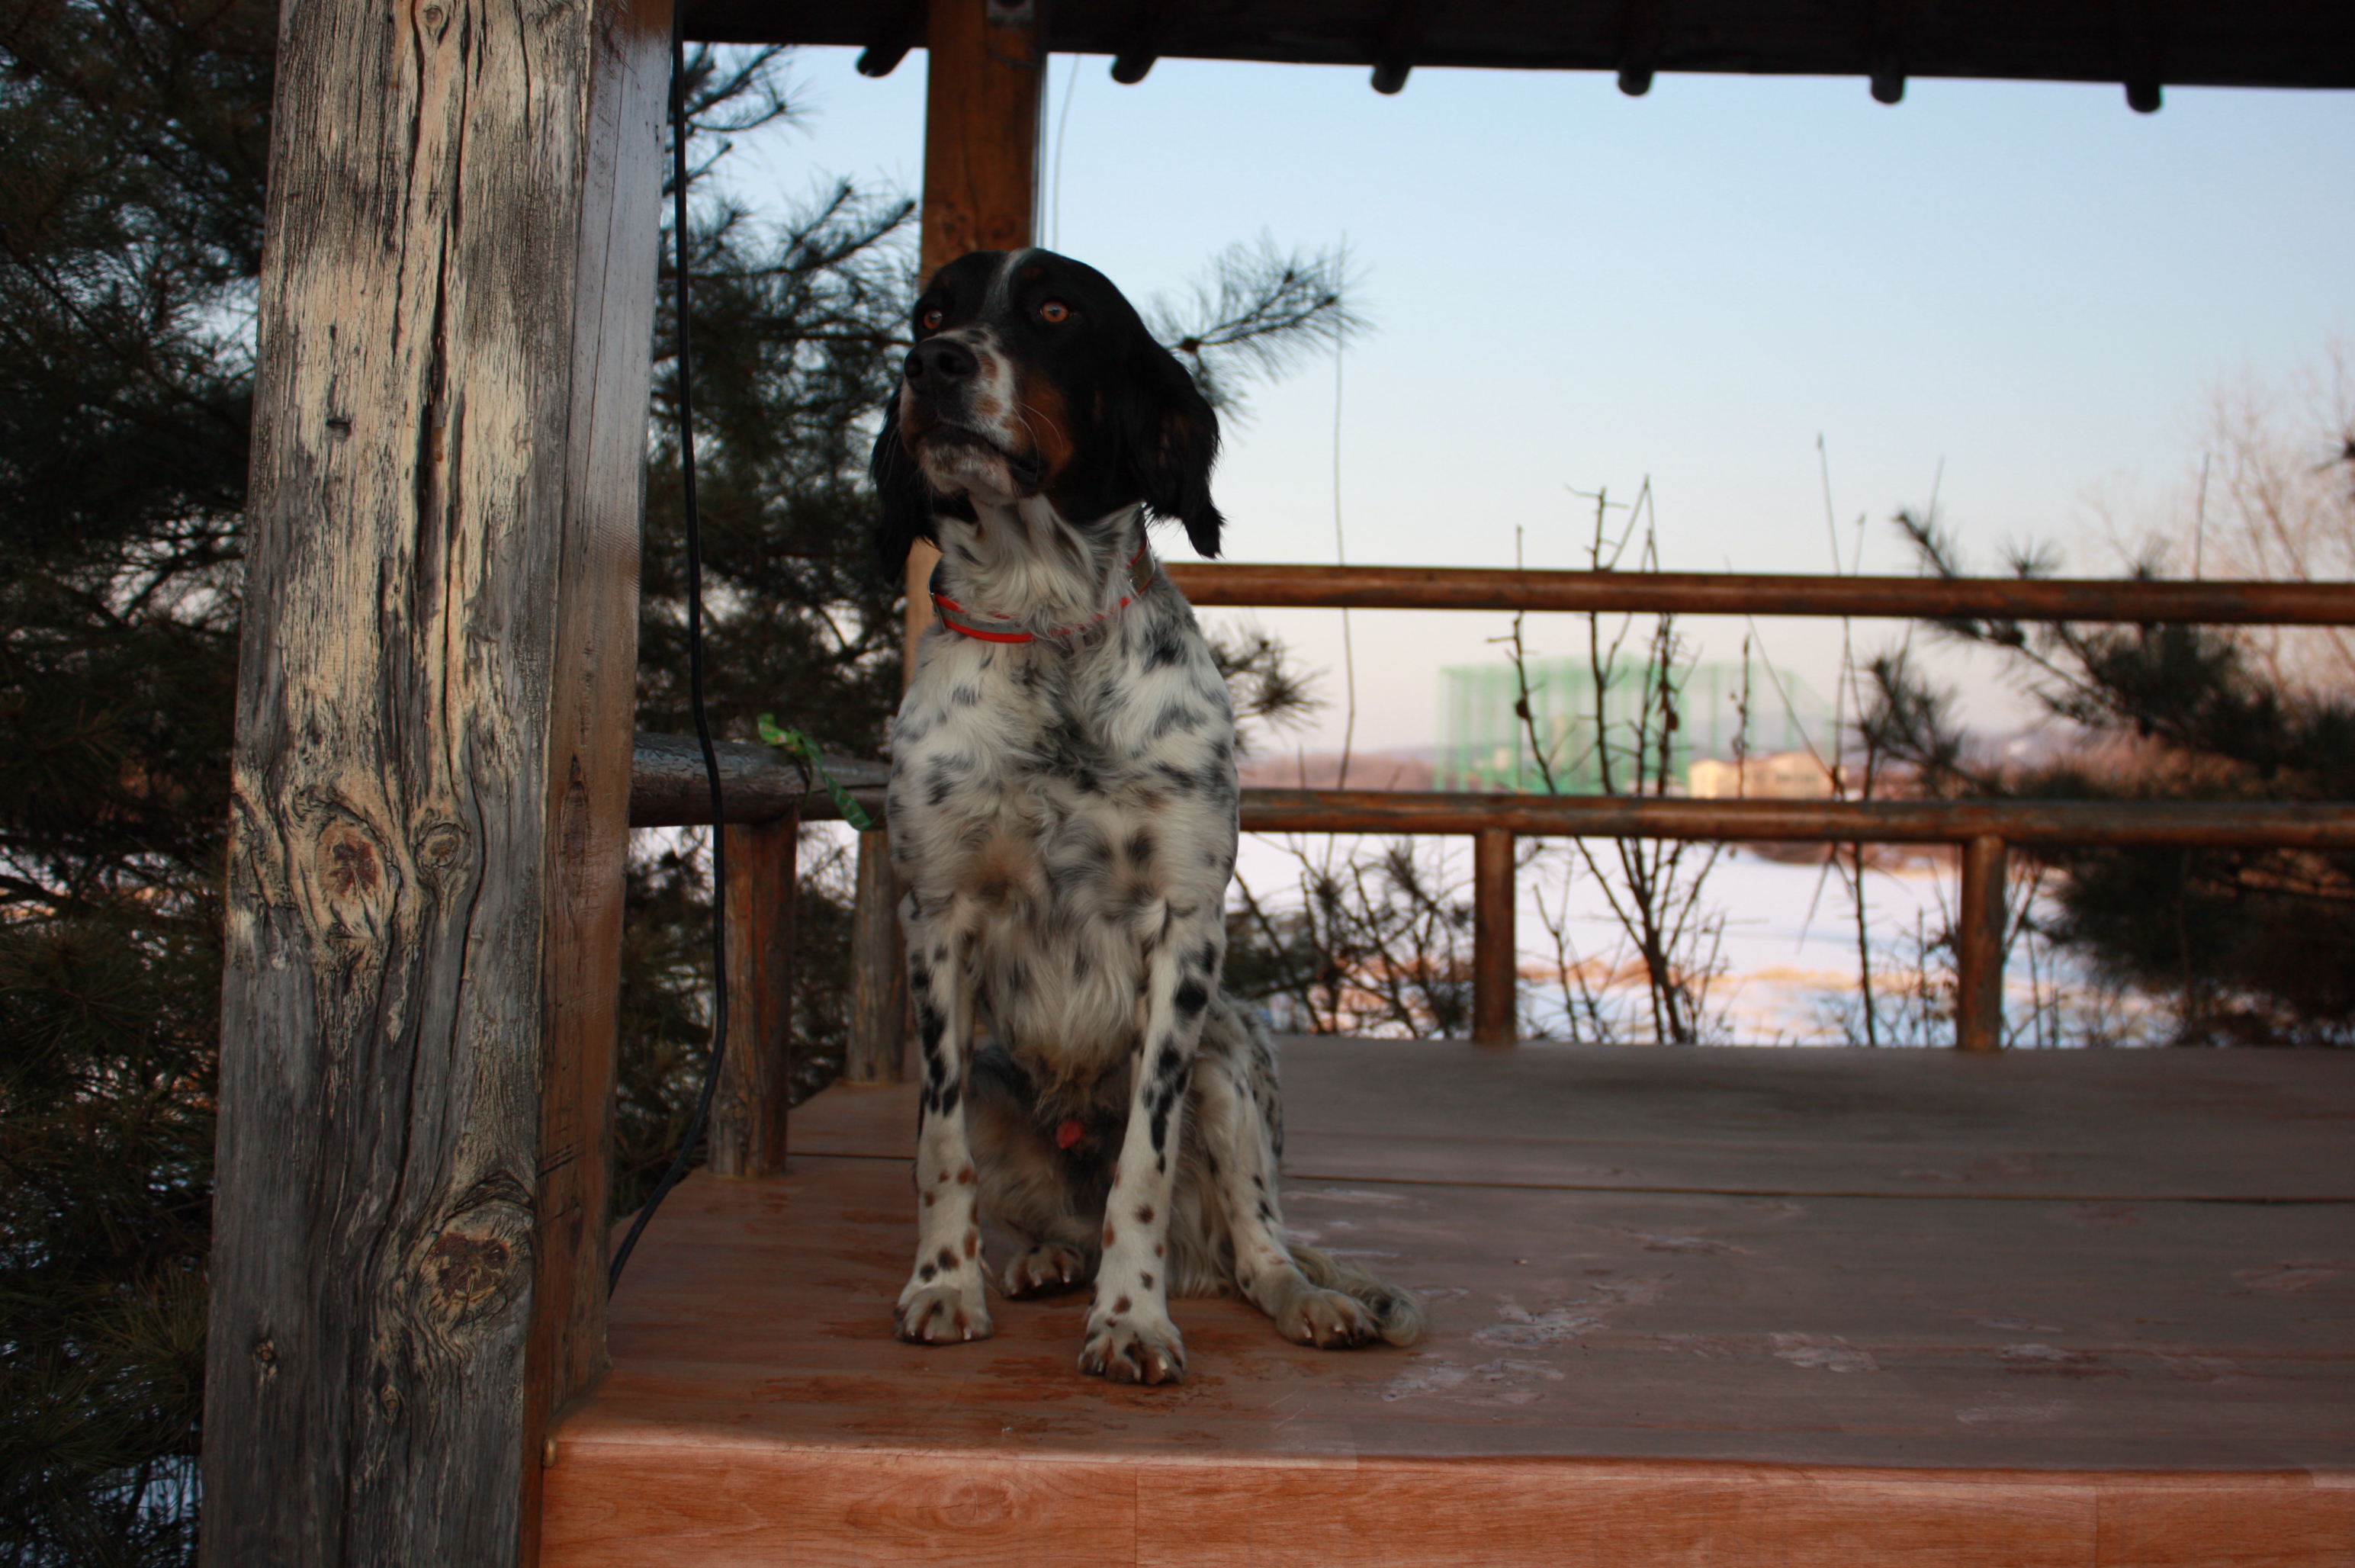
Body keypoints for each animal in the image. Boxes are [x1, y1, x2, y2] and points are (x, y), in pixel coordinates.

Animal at [869, 248, 1424, 1384]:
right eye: (930, 315)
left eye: (1053, 312)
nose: (932, 366)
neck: (1047, 623)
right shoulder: (935, 914)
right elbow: (937, 1150)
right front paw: (943, 1285)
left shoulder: (1185, 926)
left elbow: (1144, 1168)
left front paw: (1132, 1321)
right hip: (998, 1077)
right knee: (1048, 1216)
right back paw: (1041, 1261)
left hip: (1234, 1059)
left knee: (1255, 1248)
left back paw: (1305, 1301)